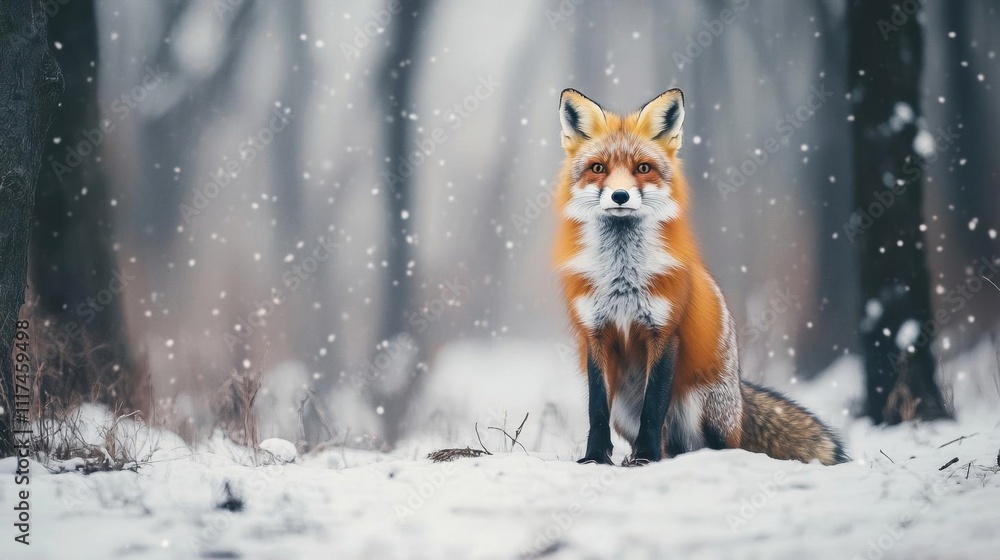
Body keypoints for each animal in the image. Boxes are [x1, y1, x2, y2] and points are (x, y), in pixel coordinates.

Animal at [553, 87, 848, 466]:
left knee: (711, 445)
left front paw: (645, 457)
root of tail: (739, 389)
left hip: (699, 404)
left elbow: (654, 408)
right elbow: (596, 411)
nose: (620, 195)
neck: (623, 276)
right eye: (598, 168)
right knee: (668, 442)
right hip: (625, 408)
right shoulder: (596, 334)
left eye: (643, 168)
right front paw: (594, 458)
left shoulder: (665, 333)